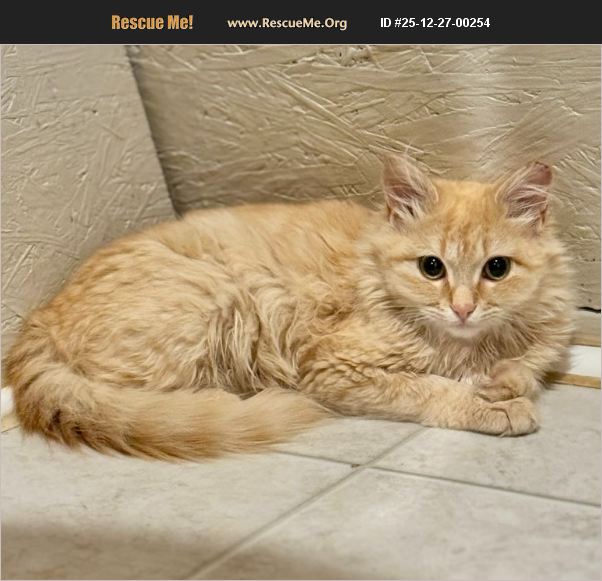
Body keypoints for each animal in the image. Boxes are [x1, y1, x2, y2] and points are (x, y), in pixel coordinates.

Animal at [3, 155, 574, 460]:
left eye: (496, 269)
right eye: (431, 267)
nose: (462, 308)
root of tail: (42, 318)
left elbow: (522, 370)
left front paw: (501, 383)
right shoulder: (336, 368)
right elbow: (430, 390)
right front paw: (491, 404)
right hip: (211, 306)